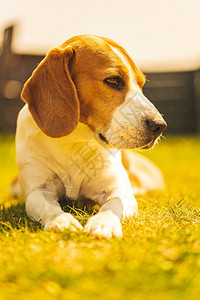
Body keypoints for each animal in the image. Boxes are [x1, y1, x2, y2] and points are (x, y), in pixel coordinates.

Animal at [15, 35, 166, 238]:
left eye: (141, 85)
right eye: (113, 80)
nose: (160, 125)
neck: (74, 141)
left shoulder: (118, 190)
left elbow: (113, 205)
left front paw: (104, 223)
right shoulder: (38, 190)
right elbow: (48, 207)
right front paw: (61, 221)